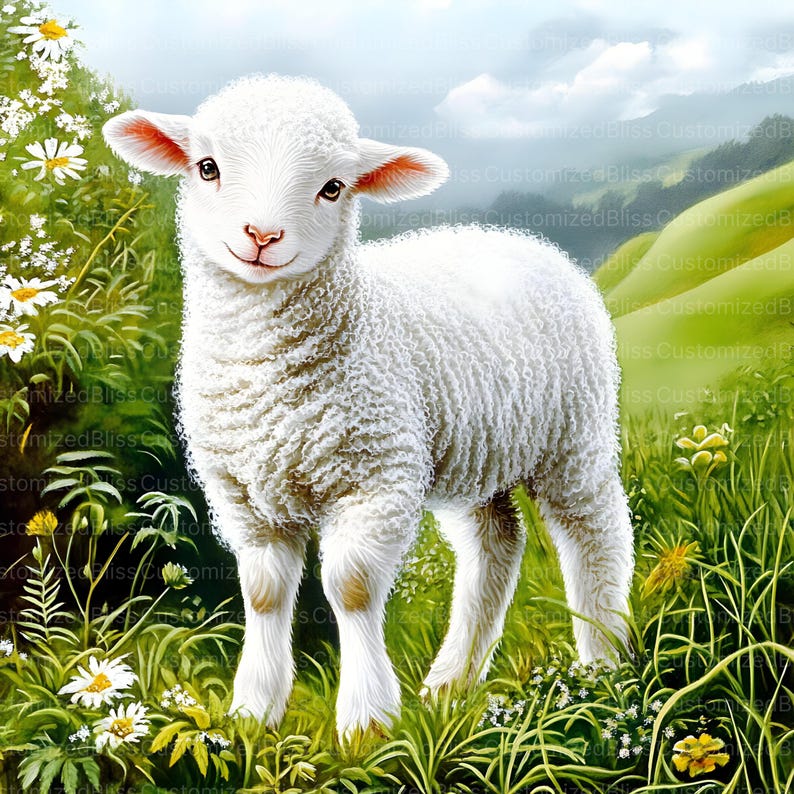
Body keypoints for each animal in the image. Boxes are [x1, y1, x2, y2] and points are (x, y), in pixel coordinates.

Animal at [103, 74, 635, 739]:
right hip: (475, 448)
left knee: (594, 533)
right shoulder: (244, 495)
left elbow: (351, 588)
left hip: (573, 432)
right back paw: (451, 684)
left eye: (333, 187)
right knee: (495, 545)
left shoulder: (374, 476)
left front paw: (366, 723)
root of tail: (526, 240)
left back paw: (604, 666)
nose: (262, 237)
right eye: (207, 167)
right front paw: (253, 714)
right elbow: (263, 592)